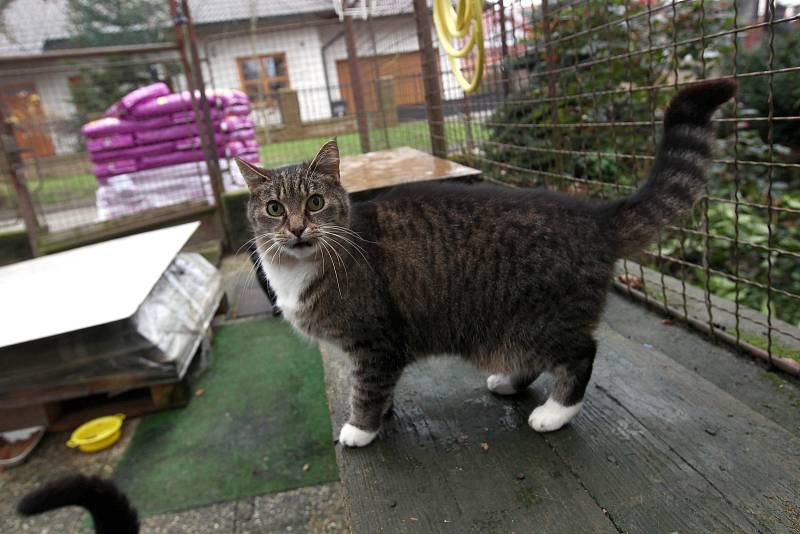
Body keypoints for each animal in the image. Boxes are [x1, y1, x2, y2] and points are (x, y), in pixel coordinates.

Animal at [239, 79, 736, 448]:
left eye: (316, 202)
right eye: (274, 209)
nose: (297, 228)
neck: (299, 268)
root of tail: (594, 215)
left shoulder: (376, 340)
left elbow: (366, 387)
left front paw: (361, 428)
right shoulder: (377, 348)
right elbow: (378, 387)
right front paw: (382, 414)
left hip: (542, 319)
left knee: (582, 353)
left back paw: (555, 412)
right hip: (515, 329)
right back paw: (510, 382)